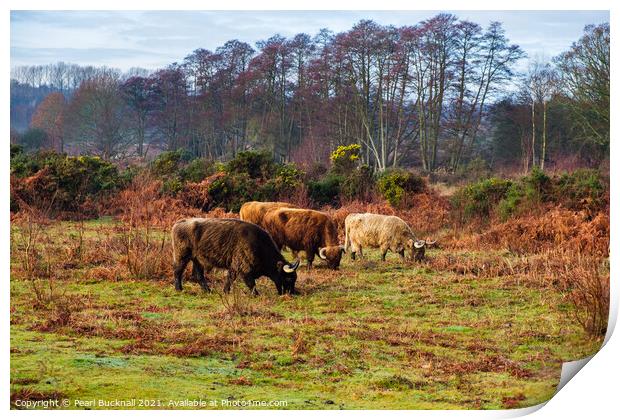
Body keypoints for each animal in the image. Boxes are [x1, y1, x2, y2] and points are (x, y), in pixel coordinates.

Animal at [172, 218, 300, 294]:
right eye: (288, 278)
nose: (292, 293)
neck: (259, 244)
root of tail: (180, 222)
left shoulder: (234, 267)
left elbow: (230, 279)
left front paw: (225, 291)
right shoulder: (244, 268)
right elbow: (251, 283)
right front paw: (256, 294)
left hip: (197, 260)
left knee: (199, 275)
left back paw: (208, 290)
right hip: (182, 256)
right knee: (178, 271)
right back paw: (179, 289)